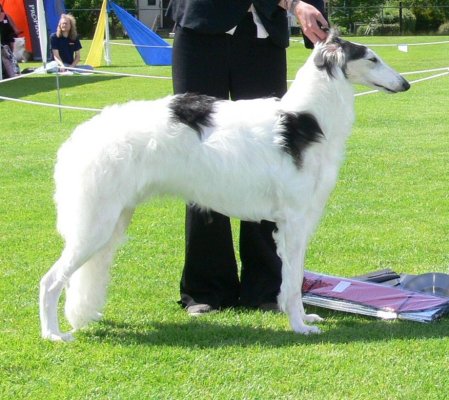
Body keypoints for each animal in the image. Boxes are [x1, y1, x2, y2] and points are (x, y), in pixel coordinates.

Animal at [40, 32, 408, 342]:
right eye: (372, 58)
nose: (404, 84)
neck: (306, 119)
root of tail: (79, 136)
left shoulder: (297, 223)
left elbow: (294, 279)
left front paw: (305, 318)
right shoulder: (293, 222)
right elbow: (291, 285)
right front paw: (300, 326)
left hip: (113, 221)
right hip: (95, 226)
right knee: (49, 281)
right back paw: (53, 334)